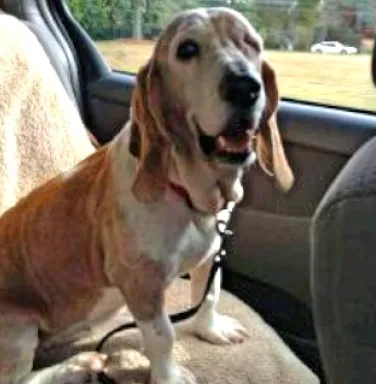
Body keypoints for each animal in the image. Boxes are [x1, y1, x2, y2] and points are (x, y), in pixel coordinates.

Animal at [0, 6, 294, 384]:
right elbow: (162, 337)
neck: (185, 193)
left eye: (251, 43)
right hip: (18, 327)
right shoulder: (142, 284)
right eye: (186, 50)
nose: (244, 88)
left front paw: (209, 329)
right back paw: (78, 364)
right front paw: (168, 376)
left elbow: (209, 293)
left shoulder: (211, 253)